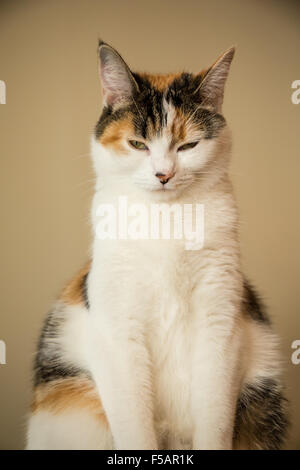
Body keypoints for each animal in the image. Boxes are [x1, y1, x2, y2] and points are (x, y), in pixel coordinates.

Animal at [27, 42, 290, 450]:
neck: (166, 221)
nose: (163, 174)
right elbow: (134, 426)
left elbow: (215, 421)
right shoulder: (119, 332)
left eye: (189, 144)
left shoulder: (220, 323)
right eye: (137, 144)